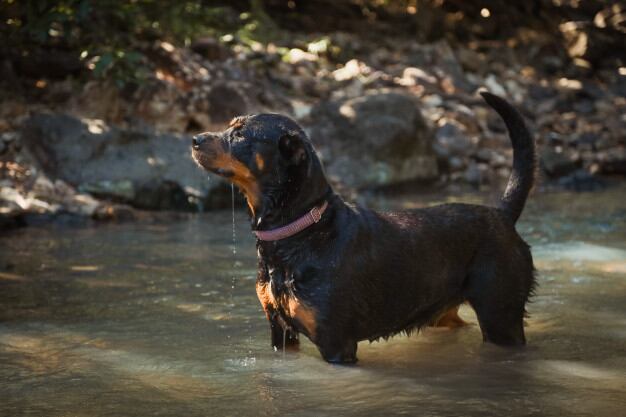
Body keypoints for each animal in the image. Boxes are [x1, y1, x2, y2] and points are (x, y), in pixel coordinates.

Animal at [191, 92, 536, 362]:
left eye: (239, 135)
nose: (194, 140)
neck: (298, 233)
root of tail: (501, 215)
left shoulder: (336, 343)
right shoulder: (281, 332)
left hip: (501, 317)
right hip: (445, 313)